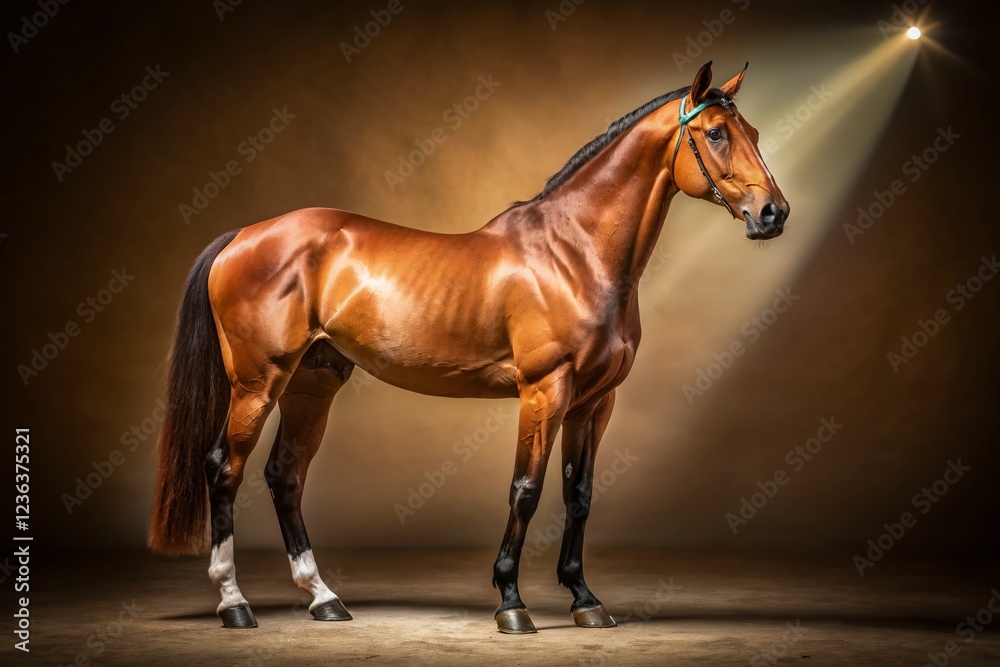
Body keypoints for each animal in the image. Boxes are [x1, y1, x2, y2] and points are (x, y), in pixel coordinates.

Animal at [149, 61, 789, 634]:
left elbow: (578, 495)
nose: (773, 213)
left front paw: (584, 599)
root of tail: (244, 235)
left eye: (754, 133)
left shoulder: (593, 403)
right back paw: (234, 604)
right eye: (715, 134)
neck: (575, 252)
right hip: (258, 383)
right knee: (224, 469)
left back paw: (323, 598)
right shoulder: (545, 391)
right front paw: (511, 602)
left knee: (285, 475)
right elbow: (526, 491)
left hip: (312, 384)